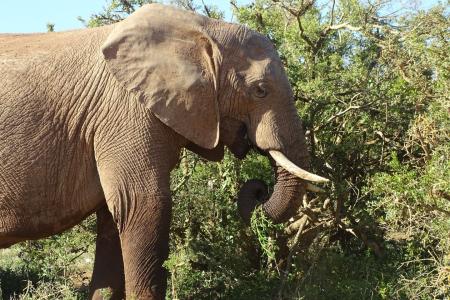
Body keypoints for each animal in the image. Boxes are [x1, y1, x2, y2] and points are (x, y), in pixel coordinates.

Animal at [0, 2, 326, 300]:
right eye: (260, 90)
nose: (259, 190)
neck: (204, 30)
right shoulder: (127, 113)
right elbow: (143, 204)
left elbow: (113, 218)